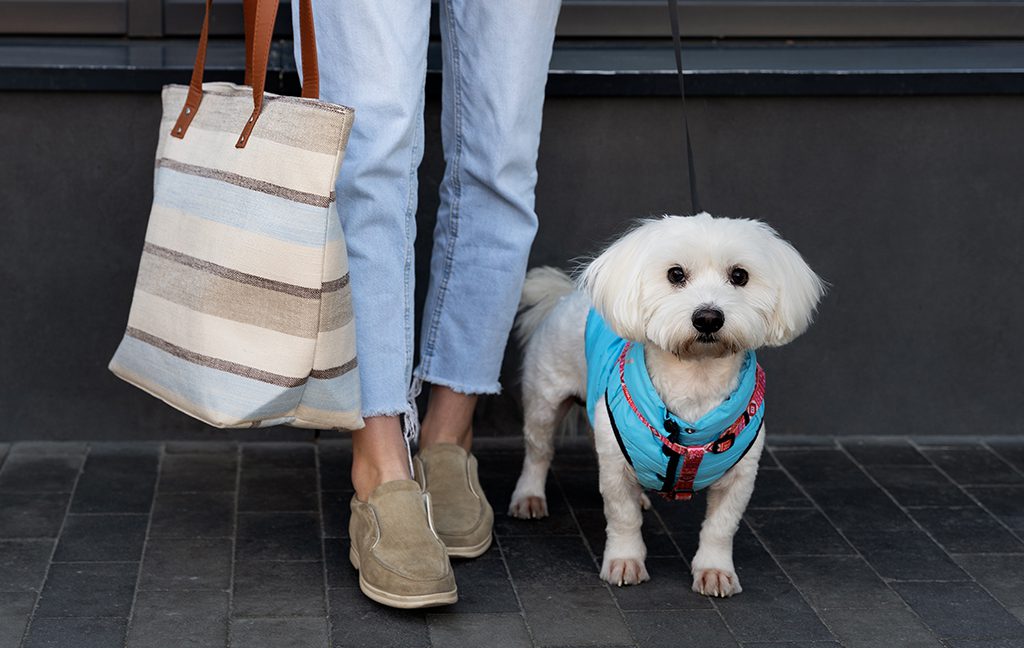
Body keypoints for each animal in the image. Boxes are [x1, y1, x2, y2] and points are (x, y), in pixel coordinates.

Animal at [509, 211, 823, 597]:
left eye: (739, 276)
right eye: (675, 274)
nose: (708, 317)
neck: (696, 382)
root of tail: (567, 296)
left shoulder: (741, 475)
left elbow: (721, 526)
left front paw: (714, 569)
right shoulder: (615, 469)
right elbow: (622, 516)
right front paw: (625, 560)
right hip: (545, 398)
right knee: (538, 451)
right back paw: (529, 496)